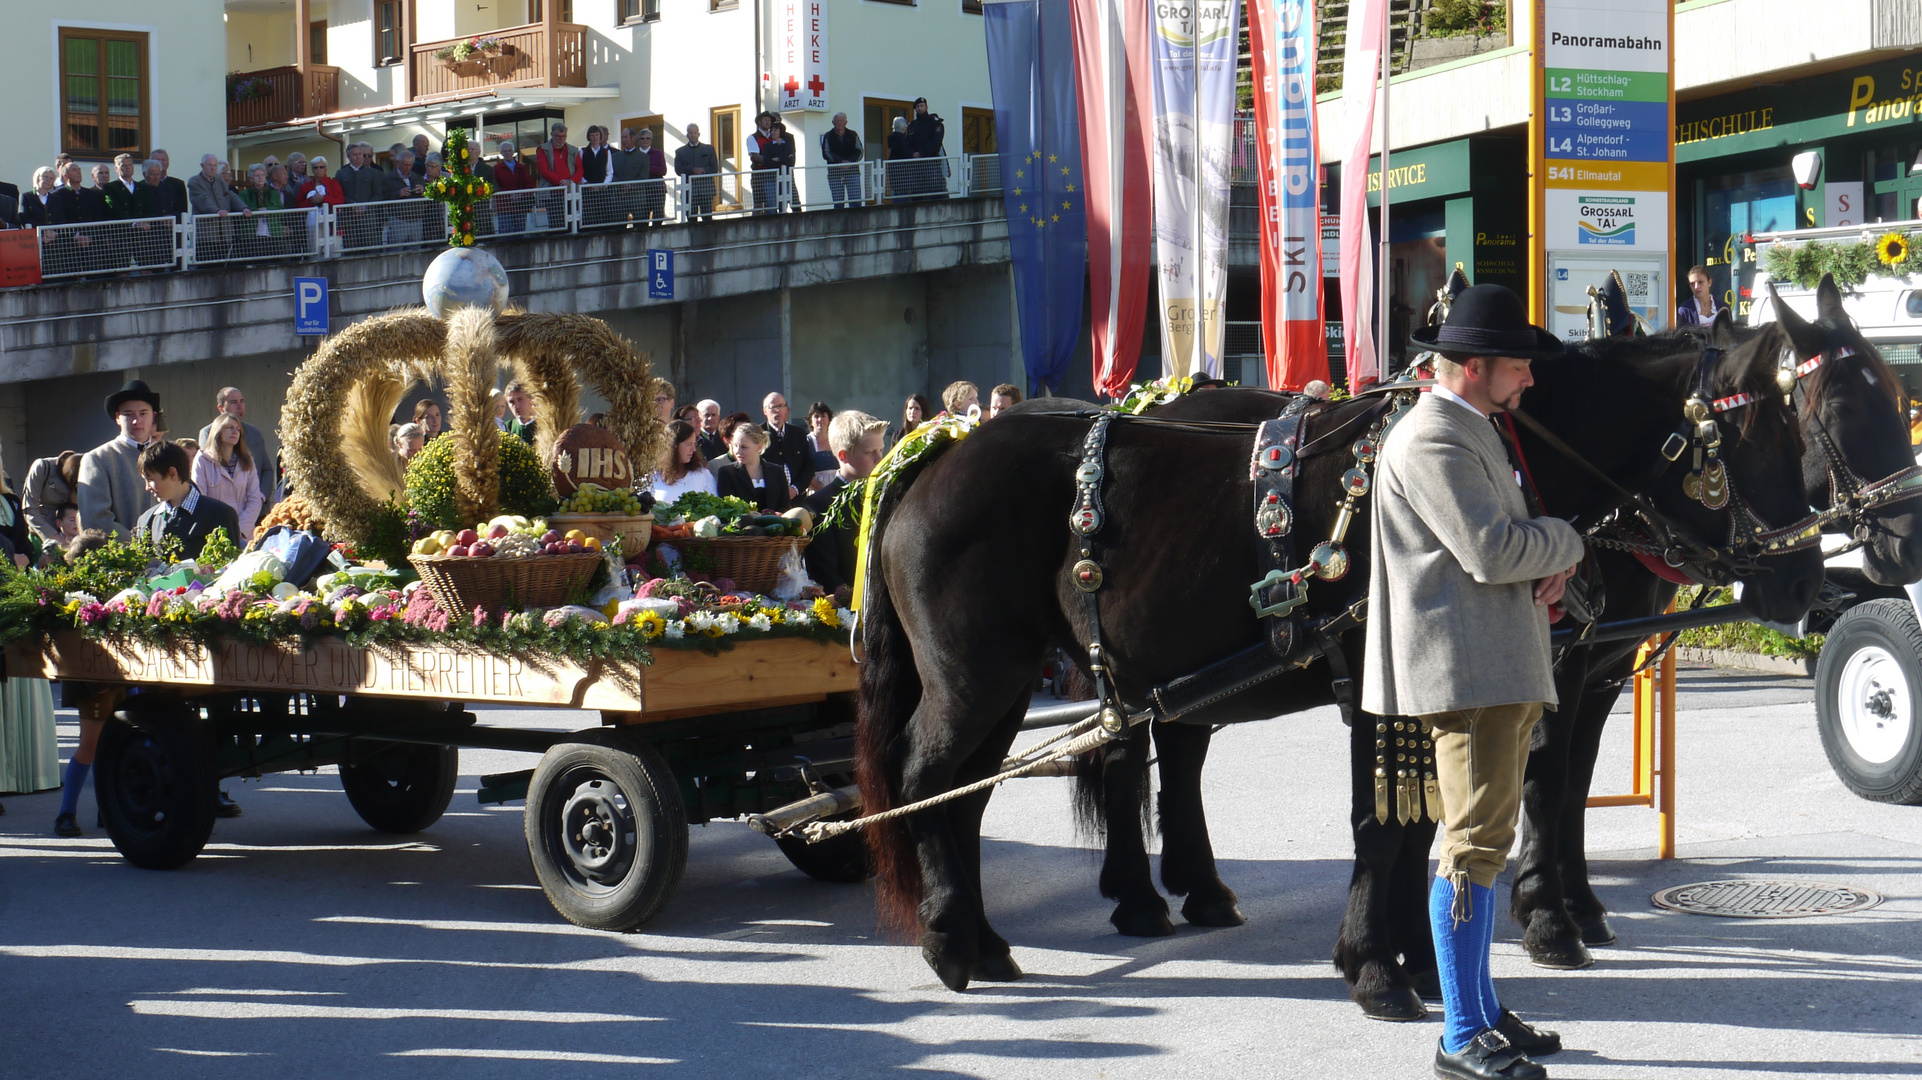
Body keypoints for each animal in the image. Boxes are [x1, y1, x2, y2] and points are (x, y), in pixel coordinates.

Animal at [853, 317, 1814, 991]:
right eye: (1765, 438)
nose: (1804, 579)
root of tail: (932, 457)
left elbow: (1425, 821)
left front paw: (1419, 956)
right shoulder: (1386, 686)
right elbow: (1389, 825)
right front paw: (1382, 964)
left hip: (1018, 681)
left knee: (974, 795)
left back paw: (996, 935)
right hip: (974, 679)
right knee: (924, 779)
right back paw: (954, 940)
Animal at [1506, 272, 1922, 960]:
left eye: (1896, 399)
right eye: (1842, 413)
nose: (1911, 543)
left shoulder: (1602, 670)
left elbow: (1574, 782)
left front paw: (1580, 906)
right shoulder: (1558, 669)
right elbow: (1542, 782)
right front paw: (1545, 918)